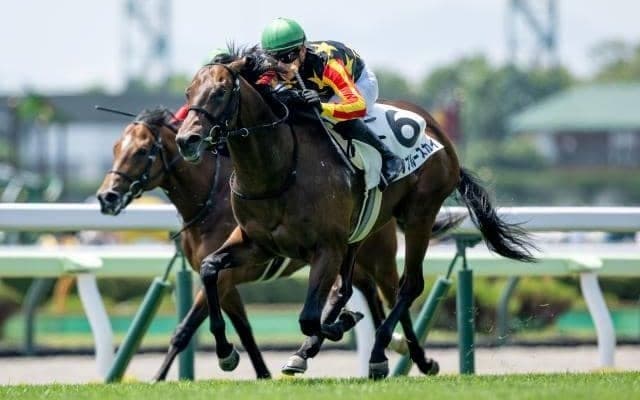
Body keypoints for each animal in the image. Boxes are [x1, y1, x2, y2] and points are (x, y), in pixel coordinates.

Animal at [96, 108, 459, 379]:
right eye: (114, 148)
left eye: (141, 151)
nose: (106, 197)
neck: (209, 202)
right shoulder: (224, 276)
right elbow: (243, 329)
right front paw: (259, 371)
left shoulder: (229, 276)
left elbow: (185, 330)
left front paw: (159, 377)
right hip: (348, 256)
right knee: (365, 293)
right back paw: (367, 348)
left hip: (379, 254)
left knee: (399, 291)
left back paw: (412, 356)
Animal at [174, 49, 535, 378]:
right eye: (188, 93)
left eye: (220, 91)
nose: (186, 140)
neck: (278, 170)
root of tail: (438, 131)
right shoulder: (257, 244)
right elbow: (210, 270)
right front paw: (225, 352)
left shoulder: (325, 248)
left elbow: (308, 318)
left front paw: (342, 324)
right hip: (362, 230)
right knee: (353, 288)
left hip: (418, 215)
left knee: (408, 285)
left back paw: (381, 353)